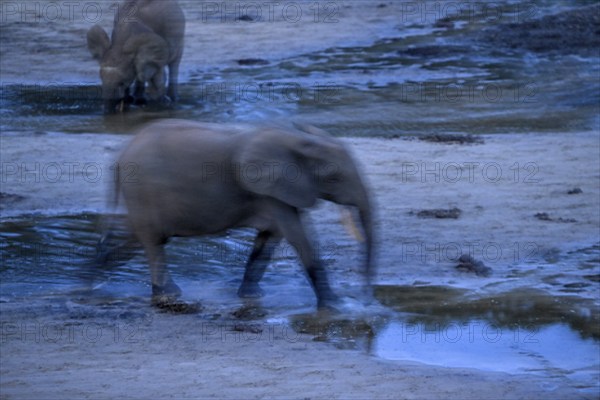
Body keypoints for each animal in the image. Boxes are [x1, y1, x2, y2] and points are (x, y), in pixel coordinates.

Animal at [102, 119, 376, 310]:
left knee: (136, 240)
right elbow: (298, 238)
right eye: (334, 177)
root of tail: (120, 156)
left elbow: (270, 237)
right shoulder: (269, 189)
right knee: (152, 242)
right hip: (142, 191)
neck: (298, 139)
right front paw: (335, 305)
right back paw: (168, 293)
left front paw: (251, 296)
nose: (365, 297)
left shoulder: (278, 192)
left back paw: (95, 275)